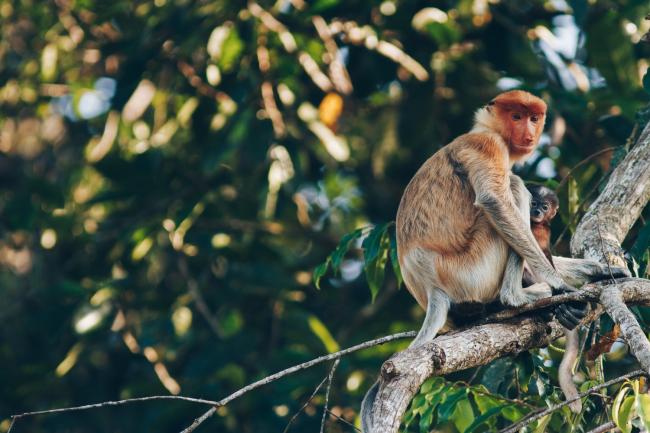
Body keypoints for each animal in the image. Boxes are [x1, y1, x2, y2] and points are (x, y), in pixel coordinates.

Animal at [360, 89, 628, 430]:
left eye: (533, 117)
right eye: (516, 116)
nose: (528, 133)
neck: (485, 128)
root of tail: (431, 288)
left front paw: (601, 271)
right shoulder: (489, 146)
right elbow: (494, 200)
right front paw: (560, 288)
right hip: (470, 271)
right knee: (512, 187)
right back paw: (519, 298)